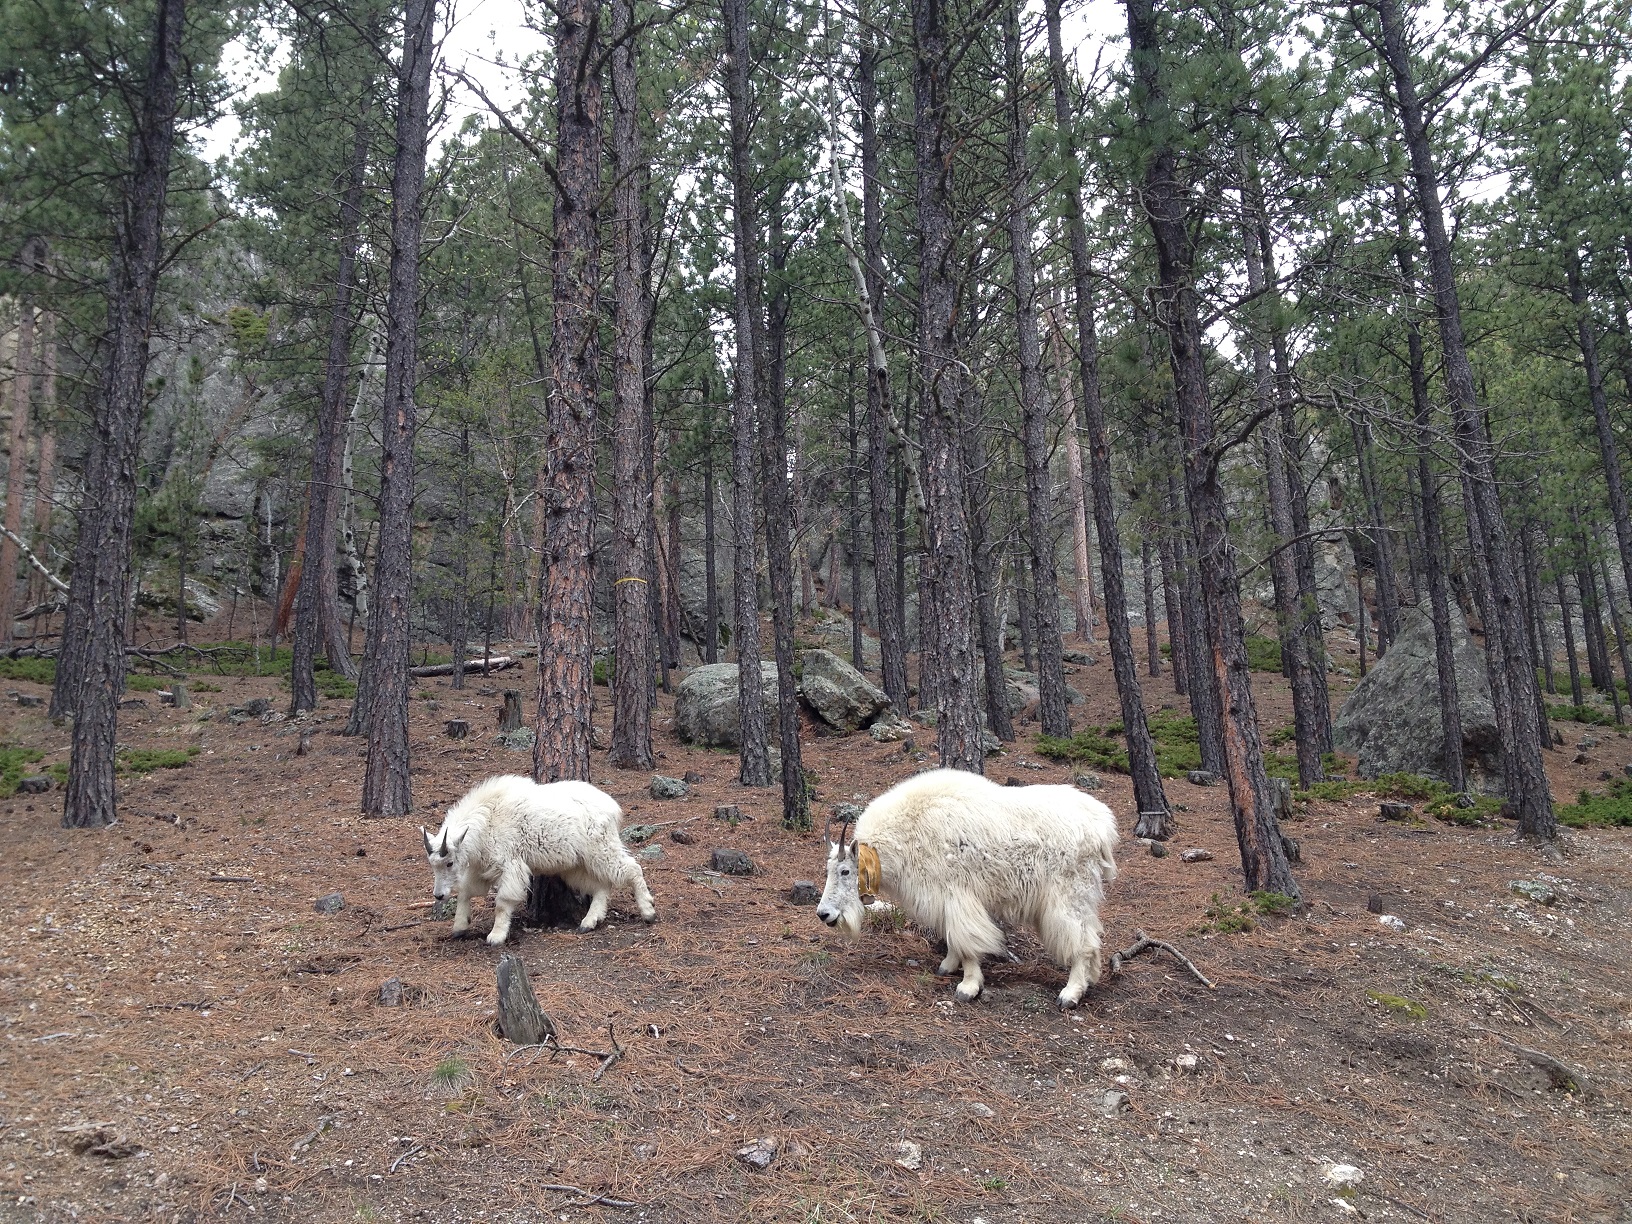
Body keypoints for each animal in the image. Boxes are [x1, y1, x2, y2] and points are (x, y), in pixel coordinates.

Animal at [424, 776, 659, 946]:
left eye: (449, 863)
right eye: (433, 865)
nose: (439, 895)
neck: (487, 820)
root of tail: (613, 807)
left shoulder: (509, 865)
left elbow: (503, 902)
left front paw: (496, 936)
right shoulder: (481, 867)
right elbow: (466, 891)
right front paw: (459, 927)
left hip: (601, 849)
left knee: (632, 869)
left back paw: (648, 912)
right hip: (577, 865)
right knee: (602, 885)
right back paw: (589, 922)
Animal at [816, 770, 1122, 1011]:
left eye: (845, 872)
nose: (824, 914)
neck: (909, 833)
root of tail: (1103, 827)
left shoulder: (958, 894)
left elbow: (967, 940)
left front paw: (968, 986)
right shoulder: (945, 899)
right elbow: (952, 936)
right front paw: (947, 965)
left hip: (1067, 894)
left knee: (1082, 942)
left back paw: (1070, 993)